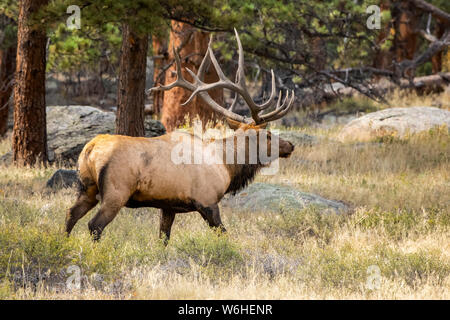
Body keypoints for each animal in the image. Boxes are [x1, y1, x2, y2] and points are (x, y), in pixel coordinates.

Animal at [65, 30, 294, 242]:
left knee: (70, 215)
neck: (226, 165)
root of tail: (89, 150)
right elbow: (223, 234)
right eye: (268, 135)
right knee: (94, 225)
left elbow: (163, 238)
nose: (290, 145)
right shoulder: (207, 201)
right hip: (116, 192)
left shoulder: (169, 206)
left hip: (87, 188)